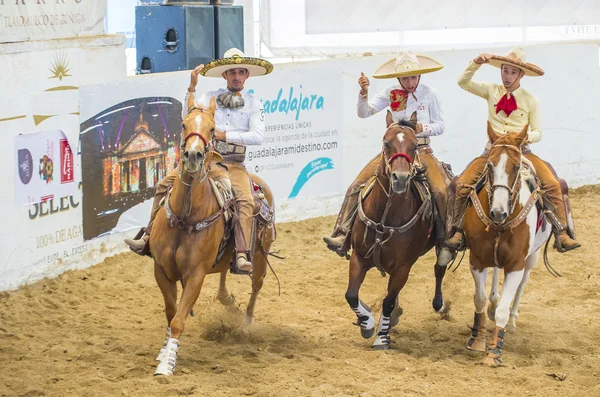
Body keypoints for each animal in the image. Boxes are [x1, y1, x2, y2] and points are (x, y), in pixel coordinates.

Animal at [150, 95, 276, 374]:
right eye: (184, 124)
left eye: (211, 128)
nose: (193, 156)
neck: (185, 218)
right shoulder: (161, 270)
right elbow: (171, 312)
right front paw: (163, 351)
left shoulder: (196, 275)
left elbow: (178, 320)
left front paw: (167, 365)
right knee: (224, 274)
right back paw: (226, 298)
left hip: (260, 258)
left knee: (256, 285)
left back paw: (244, 326)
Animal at [344, 112, 452, 350]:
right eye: (386, 143)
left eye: (413, 146)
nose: (400, 179)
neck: (385, 218)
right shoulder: (358, 257)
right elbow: (352, 295)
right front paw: (367, 323)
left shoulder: (403, 267)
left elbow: (388, 301)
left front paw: (381, 337)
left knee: (439, 269)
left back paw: (440, 305)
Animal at [464, 123, 552, 366]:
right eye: (490, 165)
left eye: (516, 166)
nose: (498, 212)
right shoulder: (476, 260)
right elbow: (479, 298)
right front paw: (477, 339)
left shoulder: (515, 265)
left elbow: (505, 306)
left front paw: (494, 351)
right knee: (495, 277)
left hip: (531, 258)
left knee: (522, 284)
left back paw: (511, 322)